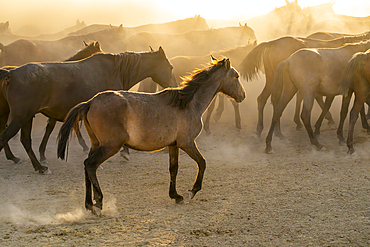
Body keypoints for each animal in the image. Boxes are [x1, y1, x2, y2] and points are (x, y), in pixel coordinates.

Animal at [0, 46, 177, 174]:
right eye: (170, 67)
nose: (174, 86)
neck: (117, 70)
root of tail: (11, 73)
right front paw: (124, 153)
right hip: (20, 117)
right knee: (5, 138)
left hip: (26, 117)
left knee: (24, 140)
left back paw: (36, 166)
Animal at [57, 57, 246, 215]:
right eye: (236, 76)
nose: (242, 96)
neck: (188, 104)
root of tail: (90, 102)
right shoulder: (187, 143)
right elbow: (202, 163)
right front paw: (192, 191)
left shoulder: (173, 144)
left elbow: (173, 169)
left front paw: (176, 196)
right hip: (110, 146)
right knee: (90, 165)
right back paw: (98, 203)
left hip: (97, 145)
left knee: (86, 166)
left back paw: (89, 204)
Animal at [238, 33, 370, 137]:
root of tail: (271, 43)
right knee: (276, 102)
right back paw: (278, 131)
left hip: (272, 80)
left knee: (263, 99)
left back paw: (261, 129)